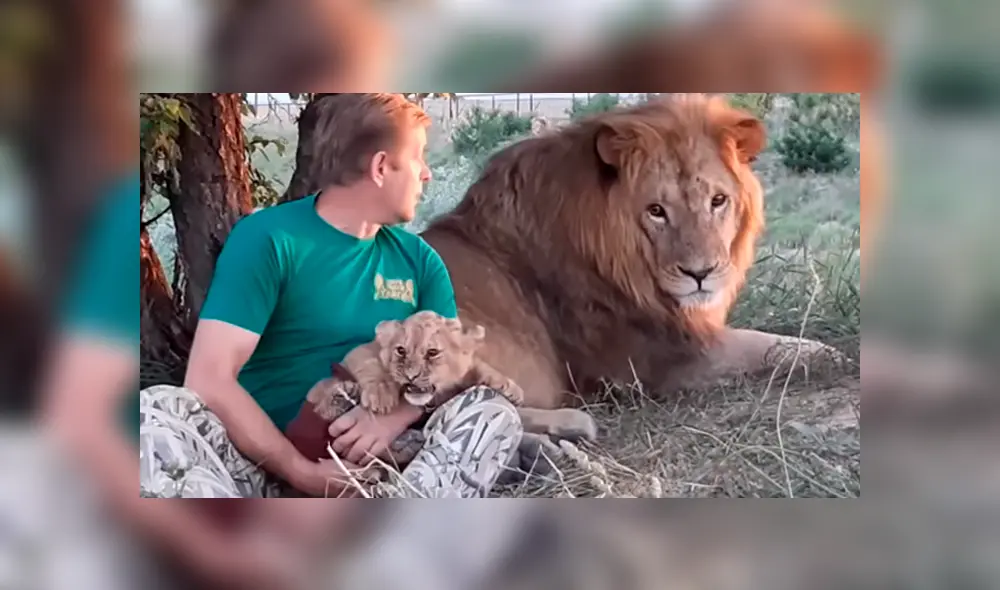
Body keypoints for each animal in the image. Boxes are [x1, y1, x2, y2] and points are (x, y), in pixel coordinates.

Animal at [419, 94, 844, 419]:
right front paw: (829, 353)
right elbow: (770, 348)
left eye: (718, 201)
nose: (701, 273)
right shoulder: (661, 362)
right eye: (656, 211)